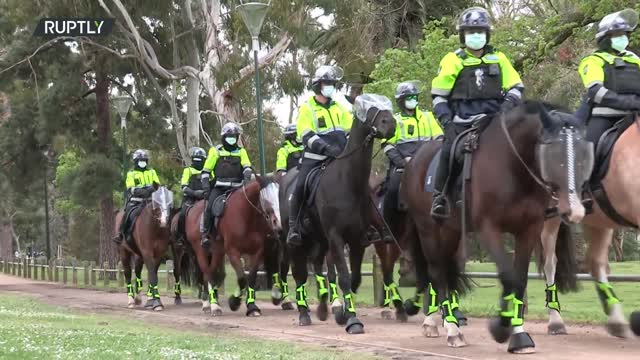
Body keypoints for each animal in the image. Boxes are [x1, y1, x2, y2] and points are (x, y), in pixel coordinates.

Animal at [205, 176, 280, 316]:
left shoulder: (257, 252)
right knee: (211, 273)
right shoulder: (233, 251)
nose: (277, 223)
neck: (246, 216)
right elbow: (241, 279)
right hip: (216, 248)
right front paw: (234, 302)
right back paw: (214, 306)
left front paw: (252, 307)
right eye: (266, 199)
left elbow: (251, 278)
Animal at [402, 102, 592, 352]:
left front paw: (518, 334)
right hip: (428, 230)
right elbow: (508, 276)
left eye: (584, 155)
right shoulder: (488, 228)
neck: (512, 166)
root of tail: (415, 160)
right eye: (553, 155)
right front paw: (501, 327)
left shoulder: (529, 229)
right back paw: (451, 329)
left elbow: (519, 280)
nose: (575, 209)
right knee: (437, 272)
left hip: (452, 231)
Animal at [544, 114, 640, 338]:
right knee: (549, 263)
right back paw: (555, 322)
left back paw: (616, 321)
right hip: (549, 219)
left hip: (600, 221)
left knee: (595, 263)